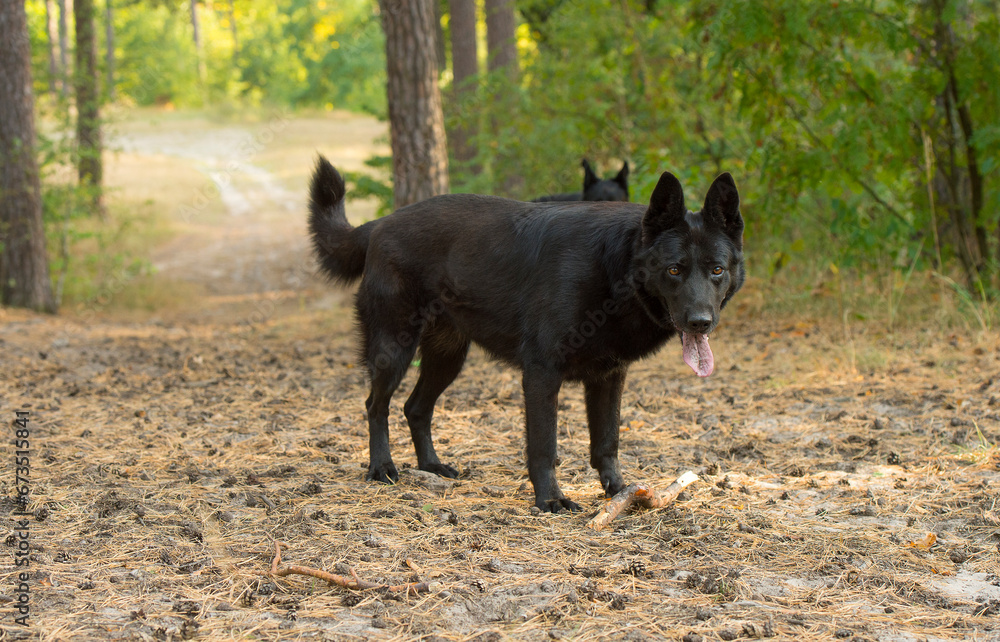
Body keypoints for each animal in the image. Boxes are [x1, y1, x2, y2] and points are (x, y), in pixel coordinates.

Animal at [309, 156, 744, 512]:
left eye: (716, 269)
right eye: (674, 269)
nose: (700, 322)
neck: (614, 270)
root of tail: (380, 224)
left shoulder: (608, 378)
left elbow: (606, 442)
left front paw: (619, 492)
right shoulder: (541, 375)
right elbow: (543, 447)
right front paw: (550, 499)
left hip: (447, 359)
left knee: (416, 408)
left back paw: (431, 466)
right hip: (393, 350)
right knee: (375, 405)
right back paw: (381, 467)